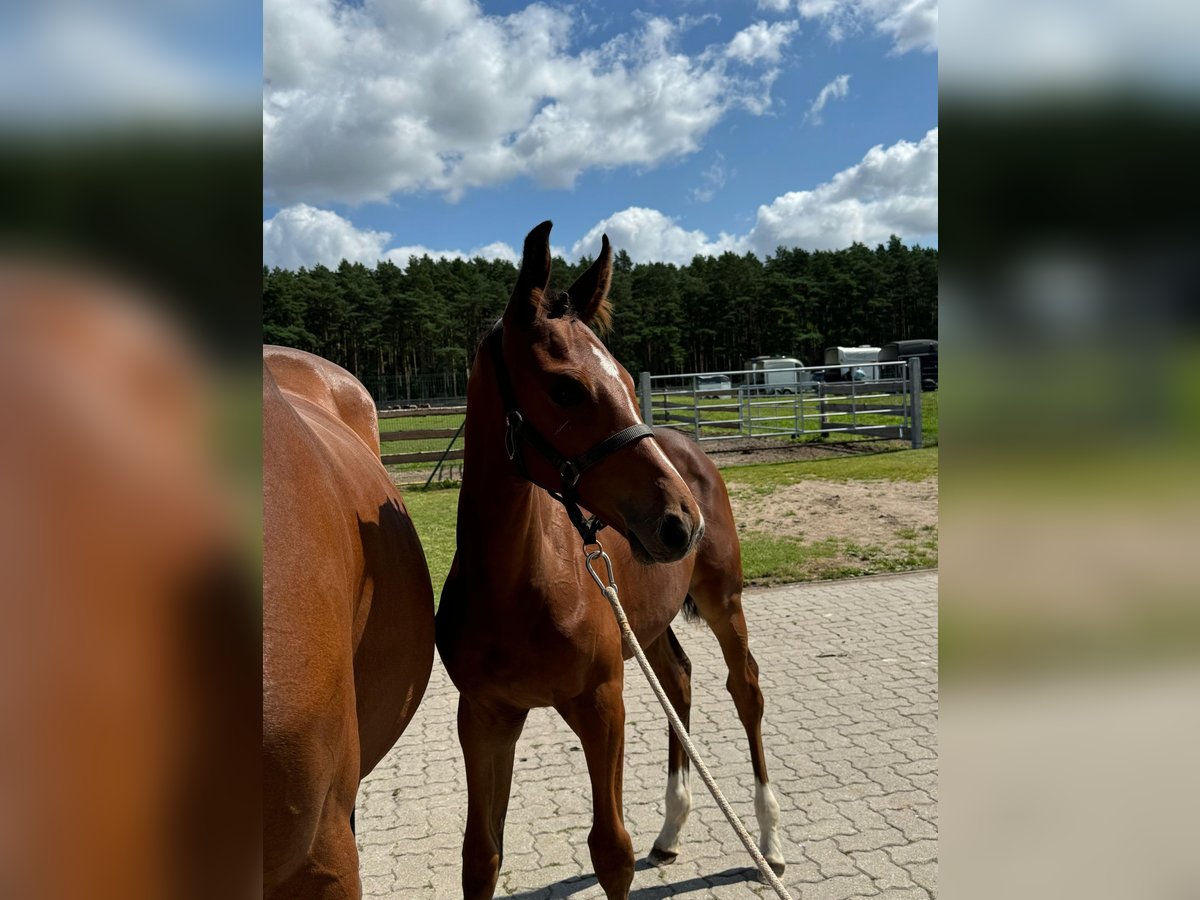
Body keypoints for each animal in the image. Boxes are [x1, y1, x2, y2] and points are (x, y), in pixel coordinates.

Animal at [436, 220, 782, 900]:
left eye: (624, 376)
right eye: (566, 387)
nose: (680, 523)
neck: (516, 586)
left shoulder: (602, 705)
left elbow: (611, 853)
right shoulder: (485, 717)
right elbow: (480, 856)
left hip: (723, 599)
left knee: (745, 688)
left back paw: (770, 839)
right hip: (648, 620)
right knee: (679, 678)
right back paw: (671, 832)